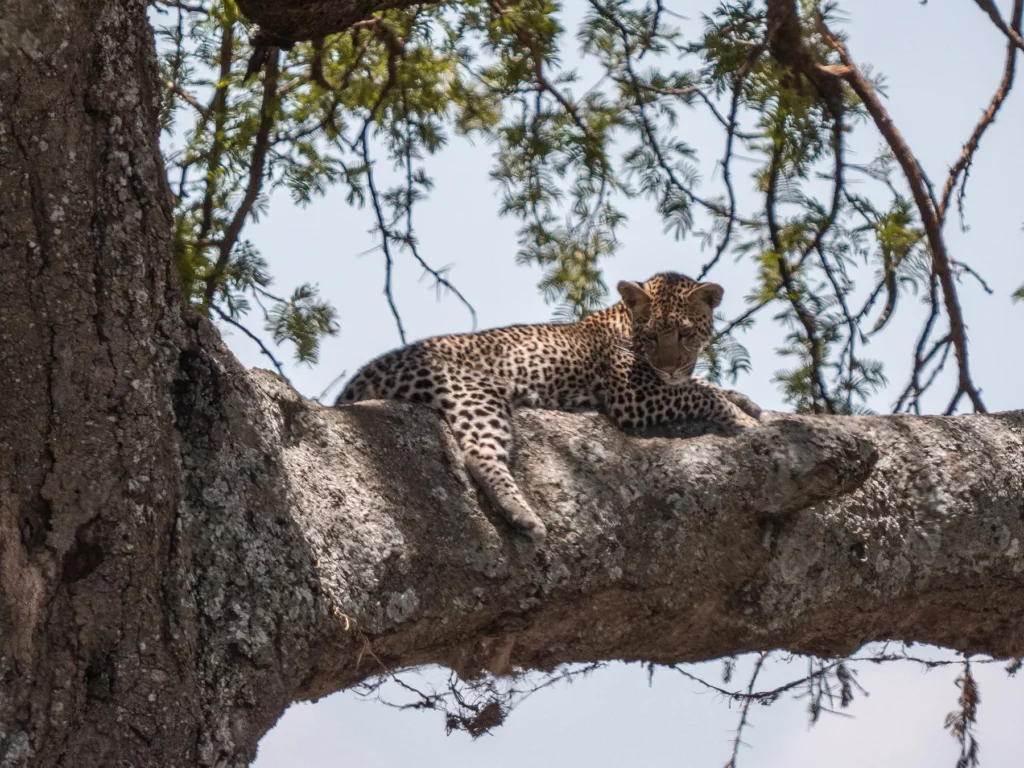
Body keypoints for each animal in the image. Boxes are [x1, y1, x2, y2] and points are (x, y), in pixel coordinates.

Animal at [335, 272, 761, 541]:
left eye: (686, 334)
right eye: (652, 334)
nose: (670, 365)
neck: (623, 320)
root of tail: (362, 376)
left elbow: (700, 384)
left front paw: (745, 402)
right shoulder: (632, 396)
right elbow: (697, 393)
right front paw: (741, 418)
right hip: (474, 391)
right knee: (478, 454)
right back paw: (524, 517)